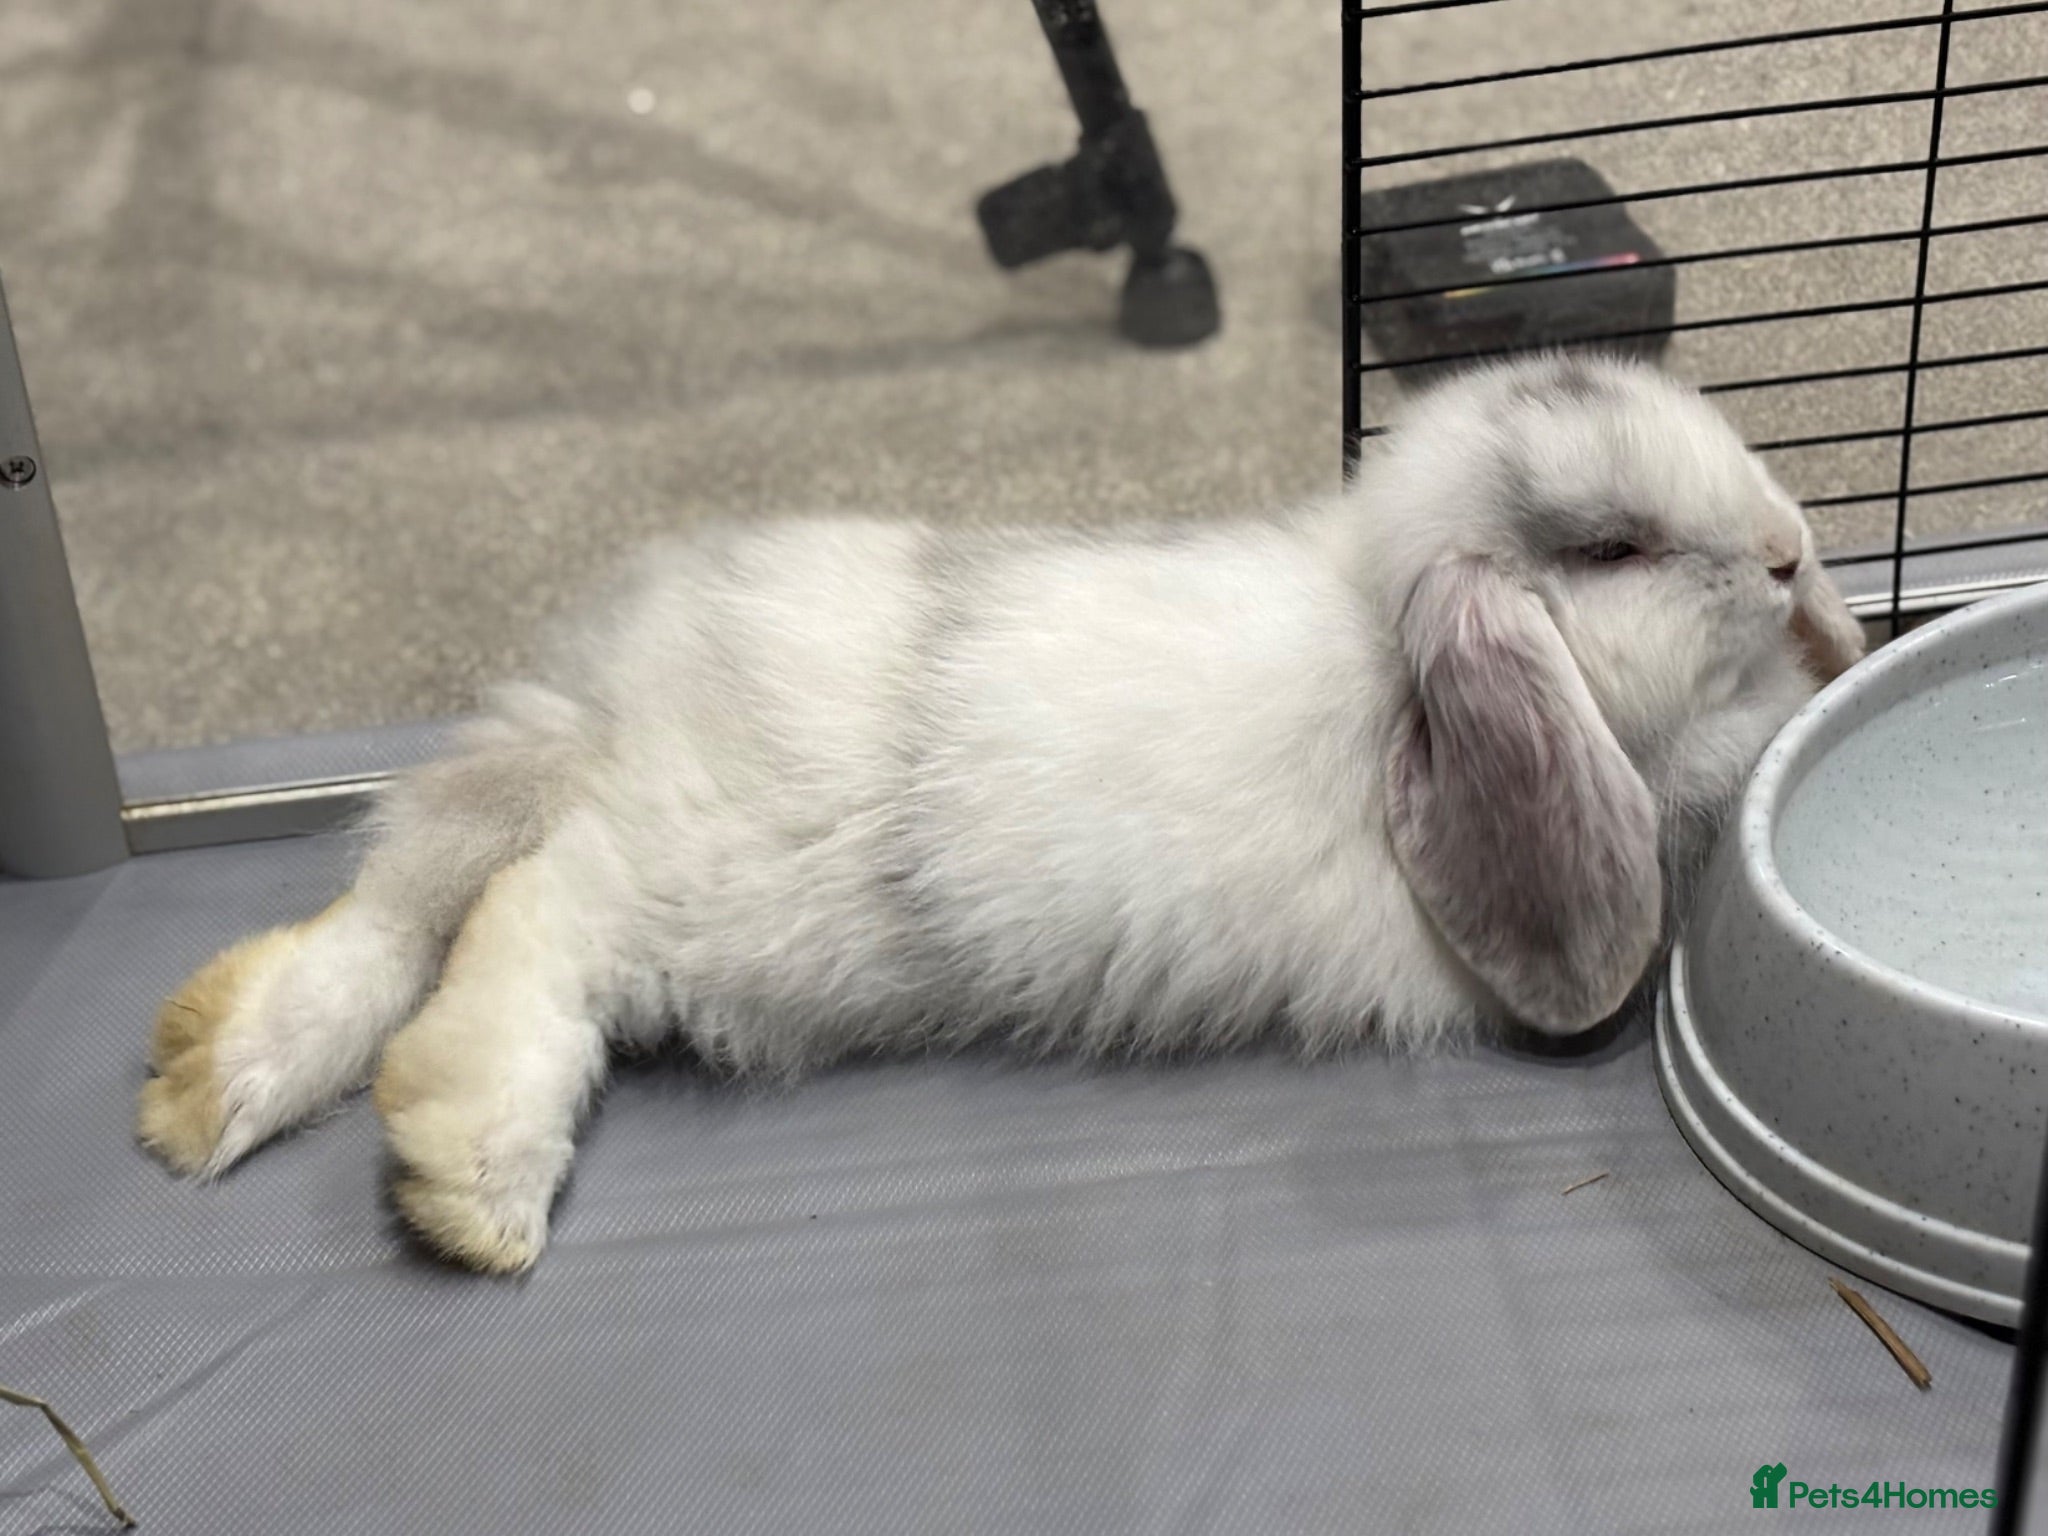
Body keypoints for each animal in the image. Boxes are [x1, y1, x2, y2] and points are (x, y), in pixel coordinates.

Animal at [136, 353, 1866, 1272]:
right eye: (1615, 550)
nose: (1793, 549)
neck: (1382, 654)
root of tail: (616, 698)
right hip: (716, 902)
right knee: (530, 913)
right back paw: (474, 1184)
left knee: (403, 921)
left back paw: (210, 1077)